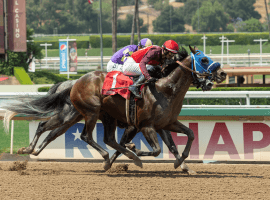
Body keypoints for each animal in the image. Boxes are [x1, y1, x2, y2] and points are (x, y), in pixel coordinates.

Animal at [69, 45, 226, 170]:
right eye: (204, 59)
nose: (222, 73)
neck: (165, 90)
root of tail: (77, 81)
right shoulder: (145, 126)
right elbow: (157, 150)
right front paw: (136, 150)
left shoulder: (167, 123)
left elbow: (189, 135)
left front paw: (182, 164)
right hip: (91, 112)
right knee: (86, 136)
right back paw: (113, 157)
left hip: (108, 116)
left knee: (109, 139)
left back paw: (123, 158)